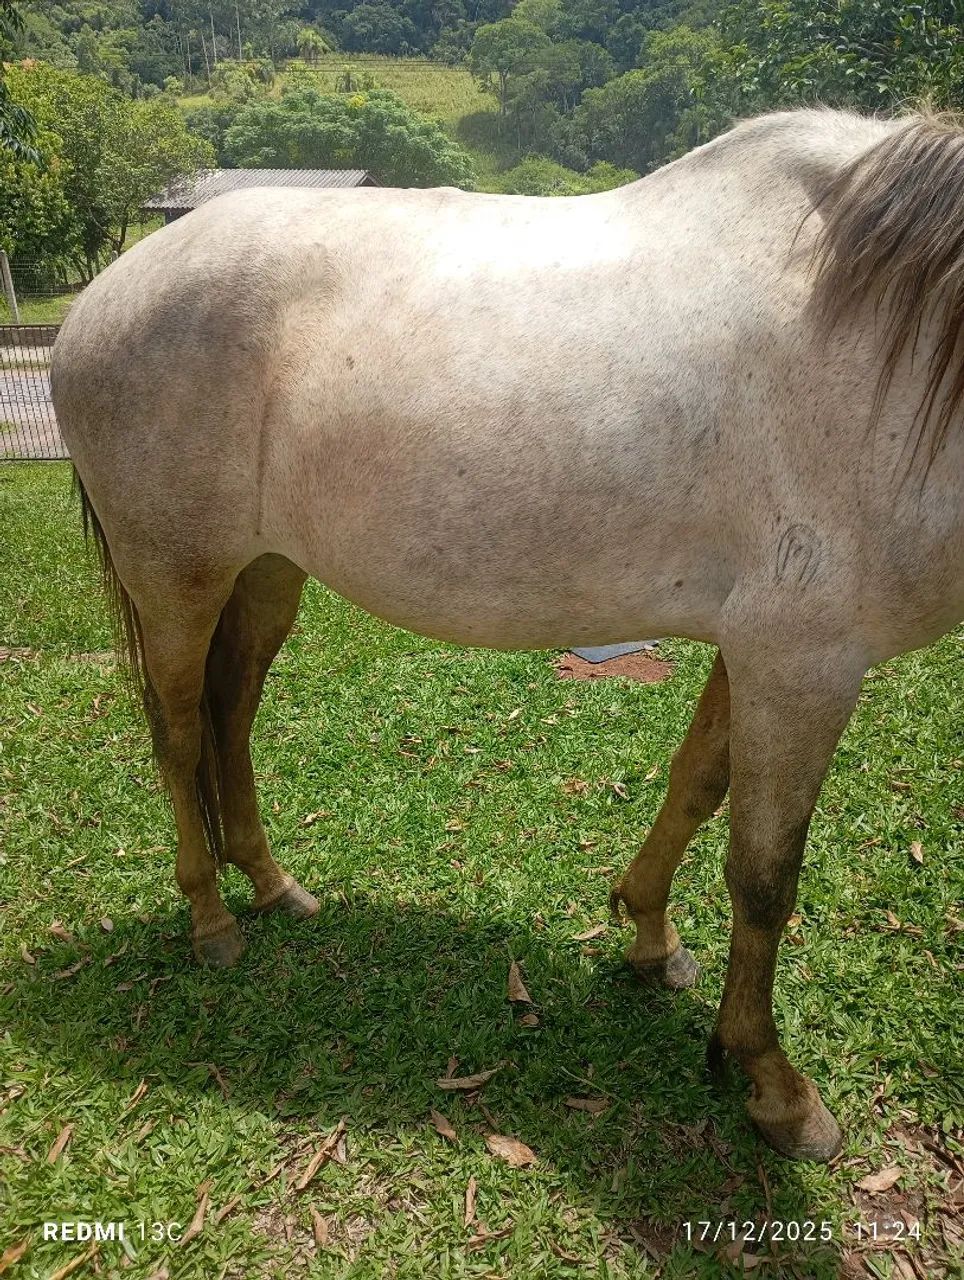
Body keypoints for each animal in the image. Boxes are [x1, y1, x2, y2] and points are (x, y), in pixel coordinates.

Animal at [51, 107, 964, 1163]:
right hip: (177, 582)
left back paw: (273, 885)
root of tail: (103, 296)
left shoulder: (755, 647)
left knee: (231, 715)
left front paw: (650, 938)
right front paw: (773, 1086)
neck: (885, 344)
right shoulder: (808, 661)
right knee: (178, 736)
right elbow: (765, 874)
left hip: (267, 573)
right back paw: (210, 921)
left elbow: (696, 786)